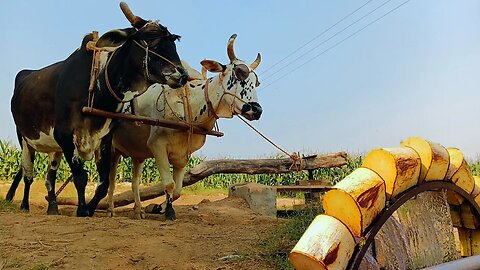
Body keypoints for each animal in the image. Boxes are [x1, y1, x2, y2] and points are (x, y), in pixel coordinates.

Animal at [7, 2, 189, 217]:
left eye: (173, 42)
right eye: (149, 40)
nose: (183, 74)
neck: (97, 85)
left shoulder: (104, 138)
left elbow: (103, 184)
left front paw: (90, 209)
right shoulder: (65, 135)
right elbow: (80, 177)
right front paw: (81, 209)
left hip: (53, 147)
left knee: (49, 176)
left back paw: (53, 207)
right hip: (25, 139)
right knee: (28, 174)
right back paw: (24, 205)